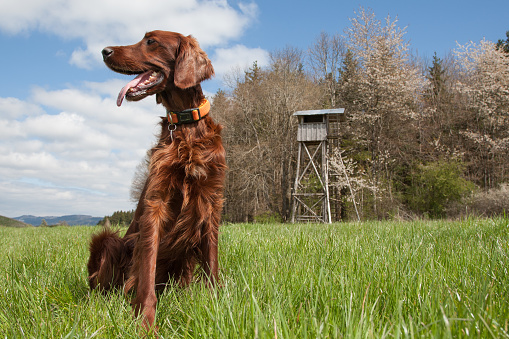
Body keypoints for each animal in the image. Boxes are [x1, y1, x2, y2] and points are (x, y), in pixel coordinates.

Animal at [87, 29, 226, 332]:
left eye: (151, 41)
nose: (104, 51)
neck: (185, 126)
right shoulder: (156, 202)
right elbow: (146, 271)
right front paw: (145, 322)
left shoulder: (211, 201)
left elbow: (212, 263)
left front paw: (217, 305)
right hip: (108, 240)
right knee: (104, 286)